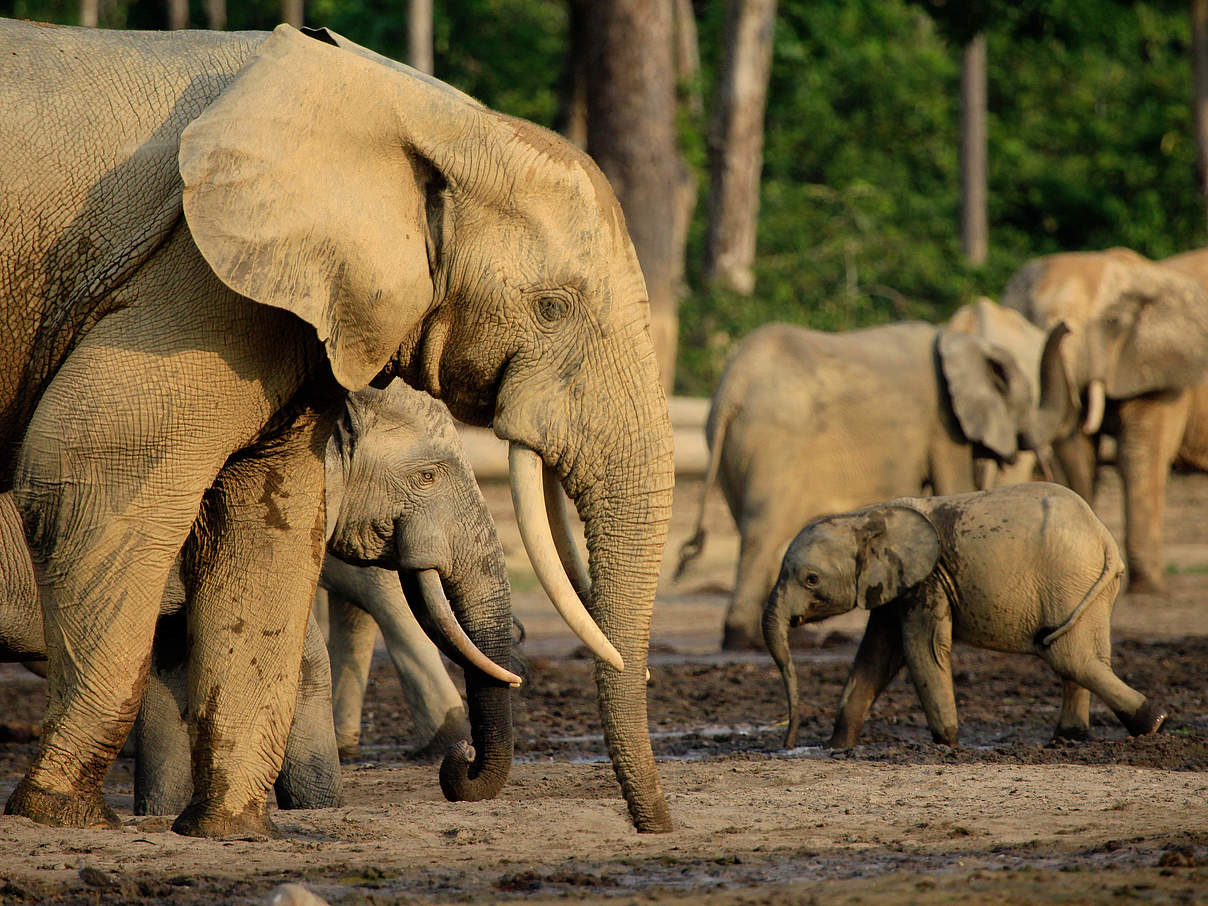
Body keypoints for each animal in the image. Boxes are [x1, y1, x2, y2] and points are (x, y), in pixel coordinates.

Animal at [0, 19, 676, 835]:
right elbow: (85, 474)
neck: (420, 110)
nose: (657, 826)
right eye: (552, 307)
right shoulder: (188, 283)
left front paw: (229, 832)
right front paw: (59, 814)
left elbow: (267, 515)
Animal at [676, 318, 1082, 652]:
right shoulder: (943, 424)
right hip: (774, 445)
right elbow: (954, 483)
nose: (1067, 326)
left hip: (732, 451)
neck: (964, 343)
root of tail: (731, 391)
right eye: (1025, 401)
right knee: (762, 534)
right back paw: (747, 641)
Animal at [763, 485, 1169, 748]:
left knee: (1067, 655)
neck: (865, 516)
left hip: (1069, 579)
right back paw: (1069, 739)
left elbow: (921, 650)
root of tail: (1103, 536)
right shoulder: (897, 585)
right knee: (1081, 656)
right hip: (1084, 586)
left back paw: (1152, 724)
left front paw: (948, 746)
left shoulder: (928, 579)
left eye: (811, 579)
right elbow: (876, 656)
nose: (787, 743)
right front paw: (837, 749)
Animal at [995, 248, 1208, 596]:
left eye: (1113, 323)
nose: (1064, 327)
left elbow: (1138, 453)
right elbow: (1079, 450)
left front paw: (1148, 589)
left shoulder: (1164, 370)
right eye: (1030, 322)